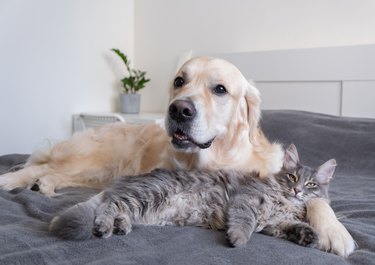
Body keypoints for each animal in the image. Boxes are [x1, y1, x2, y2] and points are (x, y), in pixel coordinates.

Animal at [49, 143, 334, 246]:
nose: (297, 190)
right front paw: (238, 239)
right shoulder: (247, 199)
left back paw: (121, 227)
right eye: (293, 177)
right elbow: (244, 223)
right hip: (148, 194)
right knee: (108, 206)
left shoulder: (275, 224)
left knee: (119, 209)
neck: (283, 202)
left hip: (143, 206)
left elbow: (295, 226)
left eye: (311, 184)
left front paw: (310, 237)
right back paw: (103, 227)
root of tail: (128, 179)